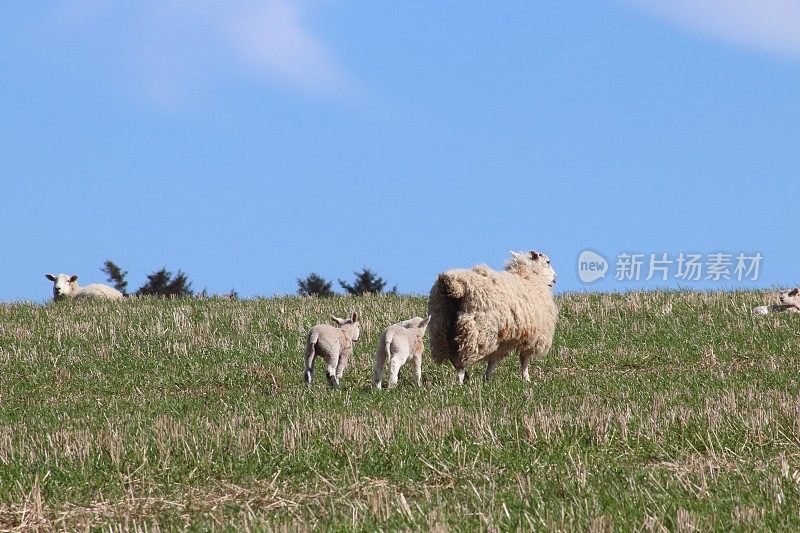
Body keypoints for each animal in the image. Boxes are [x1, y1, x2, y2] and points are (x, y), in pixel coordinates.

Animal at [428, 249, 560, 382]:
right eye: (548, 262)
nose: (555, 279)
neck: (530, 277)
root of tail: (454, 285)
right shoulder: (534, 336)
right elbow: (524, 360)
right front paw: (526, 379)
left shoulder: (503, 339)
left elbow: (493, 360)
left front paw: (487, 379)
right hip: (476, 330)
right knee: (461, 360)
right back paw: (460, 381)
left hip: (440, 327)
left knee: (452, 356)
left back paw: (466, 377)